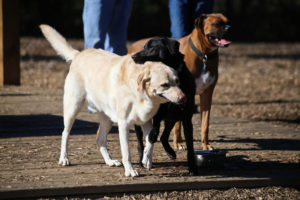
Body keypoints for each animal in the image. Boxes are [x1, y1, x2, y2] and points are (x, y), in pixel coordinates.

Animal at [127, 13, 231, 150]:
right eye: (216, 24)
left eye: (227, 22)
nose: (229, 28)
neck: (203, 55)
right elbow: (176, 125)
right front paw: (179, 143)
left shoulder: (206, 95)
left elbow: (205, 123)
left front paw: (205, 145)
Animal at [131, 37, 197, 175]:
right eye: (144, 46)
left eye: (151, 47)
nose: (133, 56)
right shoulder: (157, 117)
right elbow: (152, 136)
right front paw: (147, 158)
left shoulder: (186, 118)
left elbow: (190, 144)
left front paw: (193, 168)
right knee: (141, 141)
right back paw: (141, 159)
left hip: (172, 118)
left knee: (163, 136)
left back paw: (170, 152)